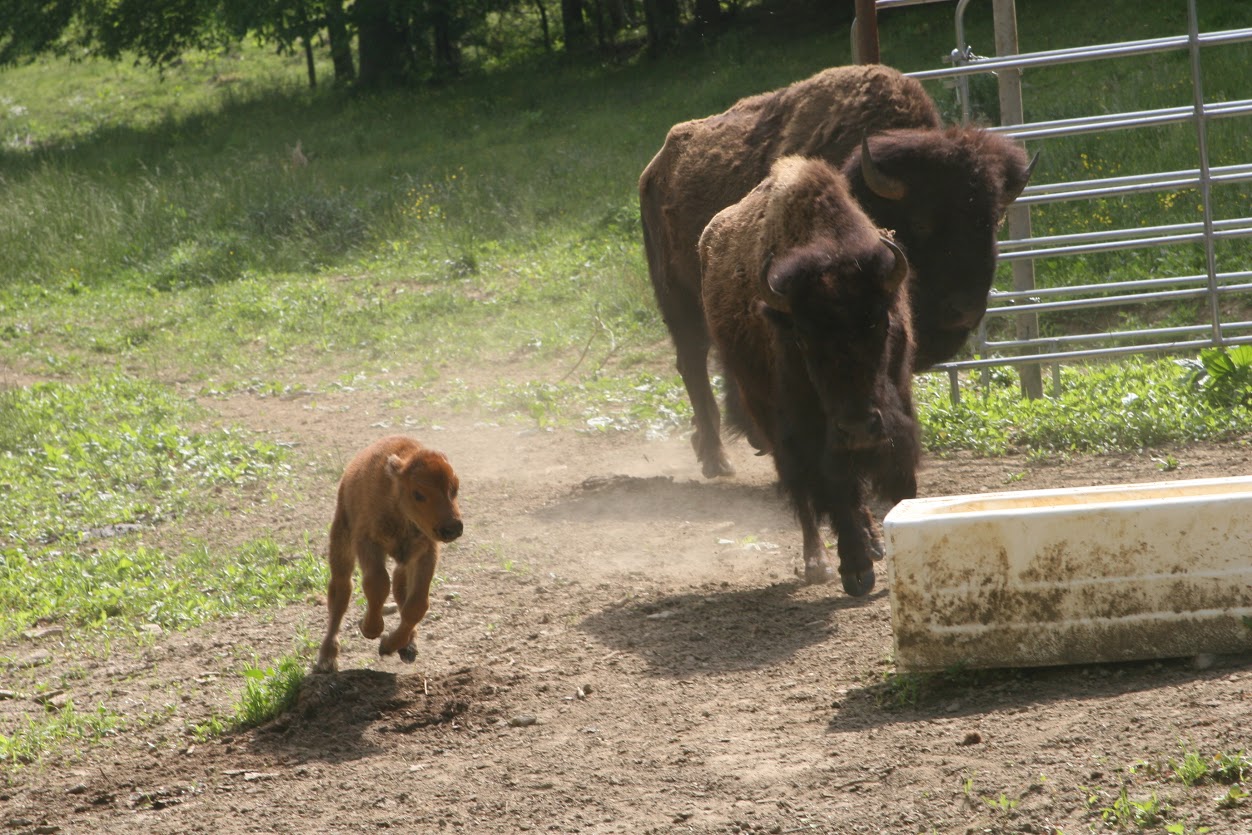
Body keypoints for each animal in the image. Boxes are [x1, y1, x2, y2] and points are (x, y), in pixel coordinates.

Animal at [639, 63, 1033, 478]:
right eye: (922, 221)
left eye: (993, 221)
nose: (966, 309)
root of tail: (655, 169)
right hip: (679, 301)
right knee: (693, 364)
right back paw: (718, 459)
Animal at [699, 155, 919, 594]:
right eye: (801, 338)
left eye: (883, 324)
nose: (858, 428)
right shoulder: (808, 429)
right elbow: (831, 489)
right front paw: (855, 571)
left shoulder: (898, 403)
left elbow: (894, 470)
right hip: (766, 415)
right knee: (803, 493)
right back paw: (818, 562)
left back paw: (872, 544)